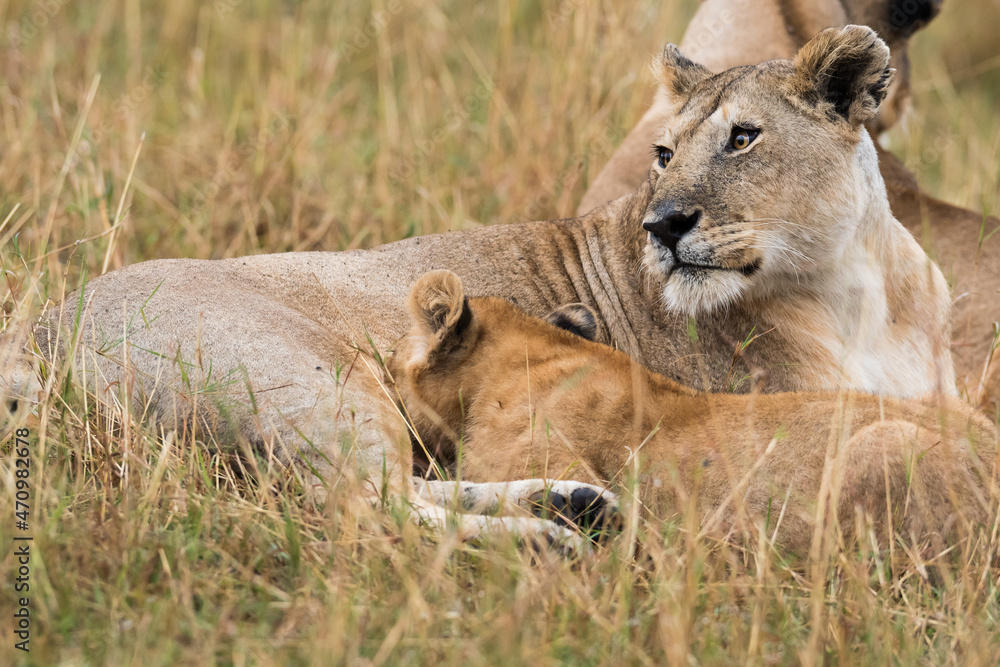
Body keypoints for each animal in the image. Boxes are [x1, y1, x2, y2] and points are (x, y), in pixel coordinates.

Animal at [2, 27, 953, 544]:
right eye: (663, 152)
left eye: (744, 138)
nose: (662, 224)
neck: (853, 287)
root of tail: (42, 329)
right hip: (322, 380)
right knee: (365, 507)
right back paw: (550, 537)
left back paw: (574, 503)